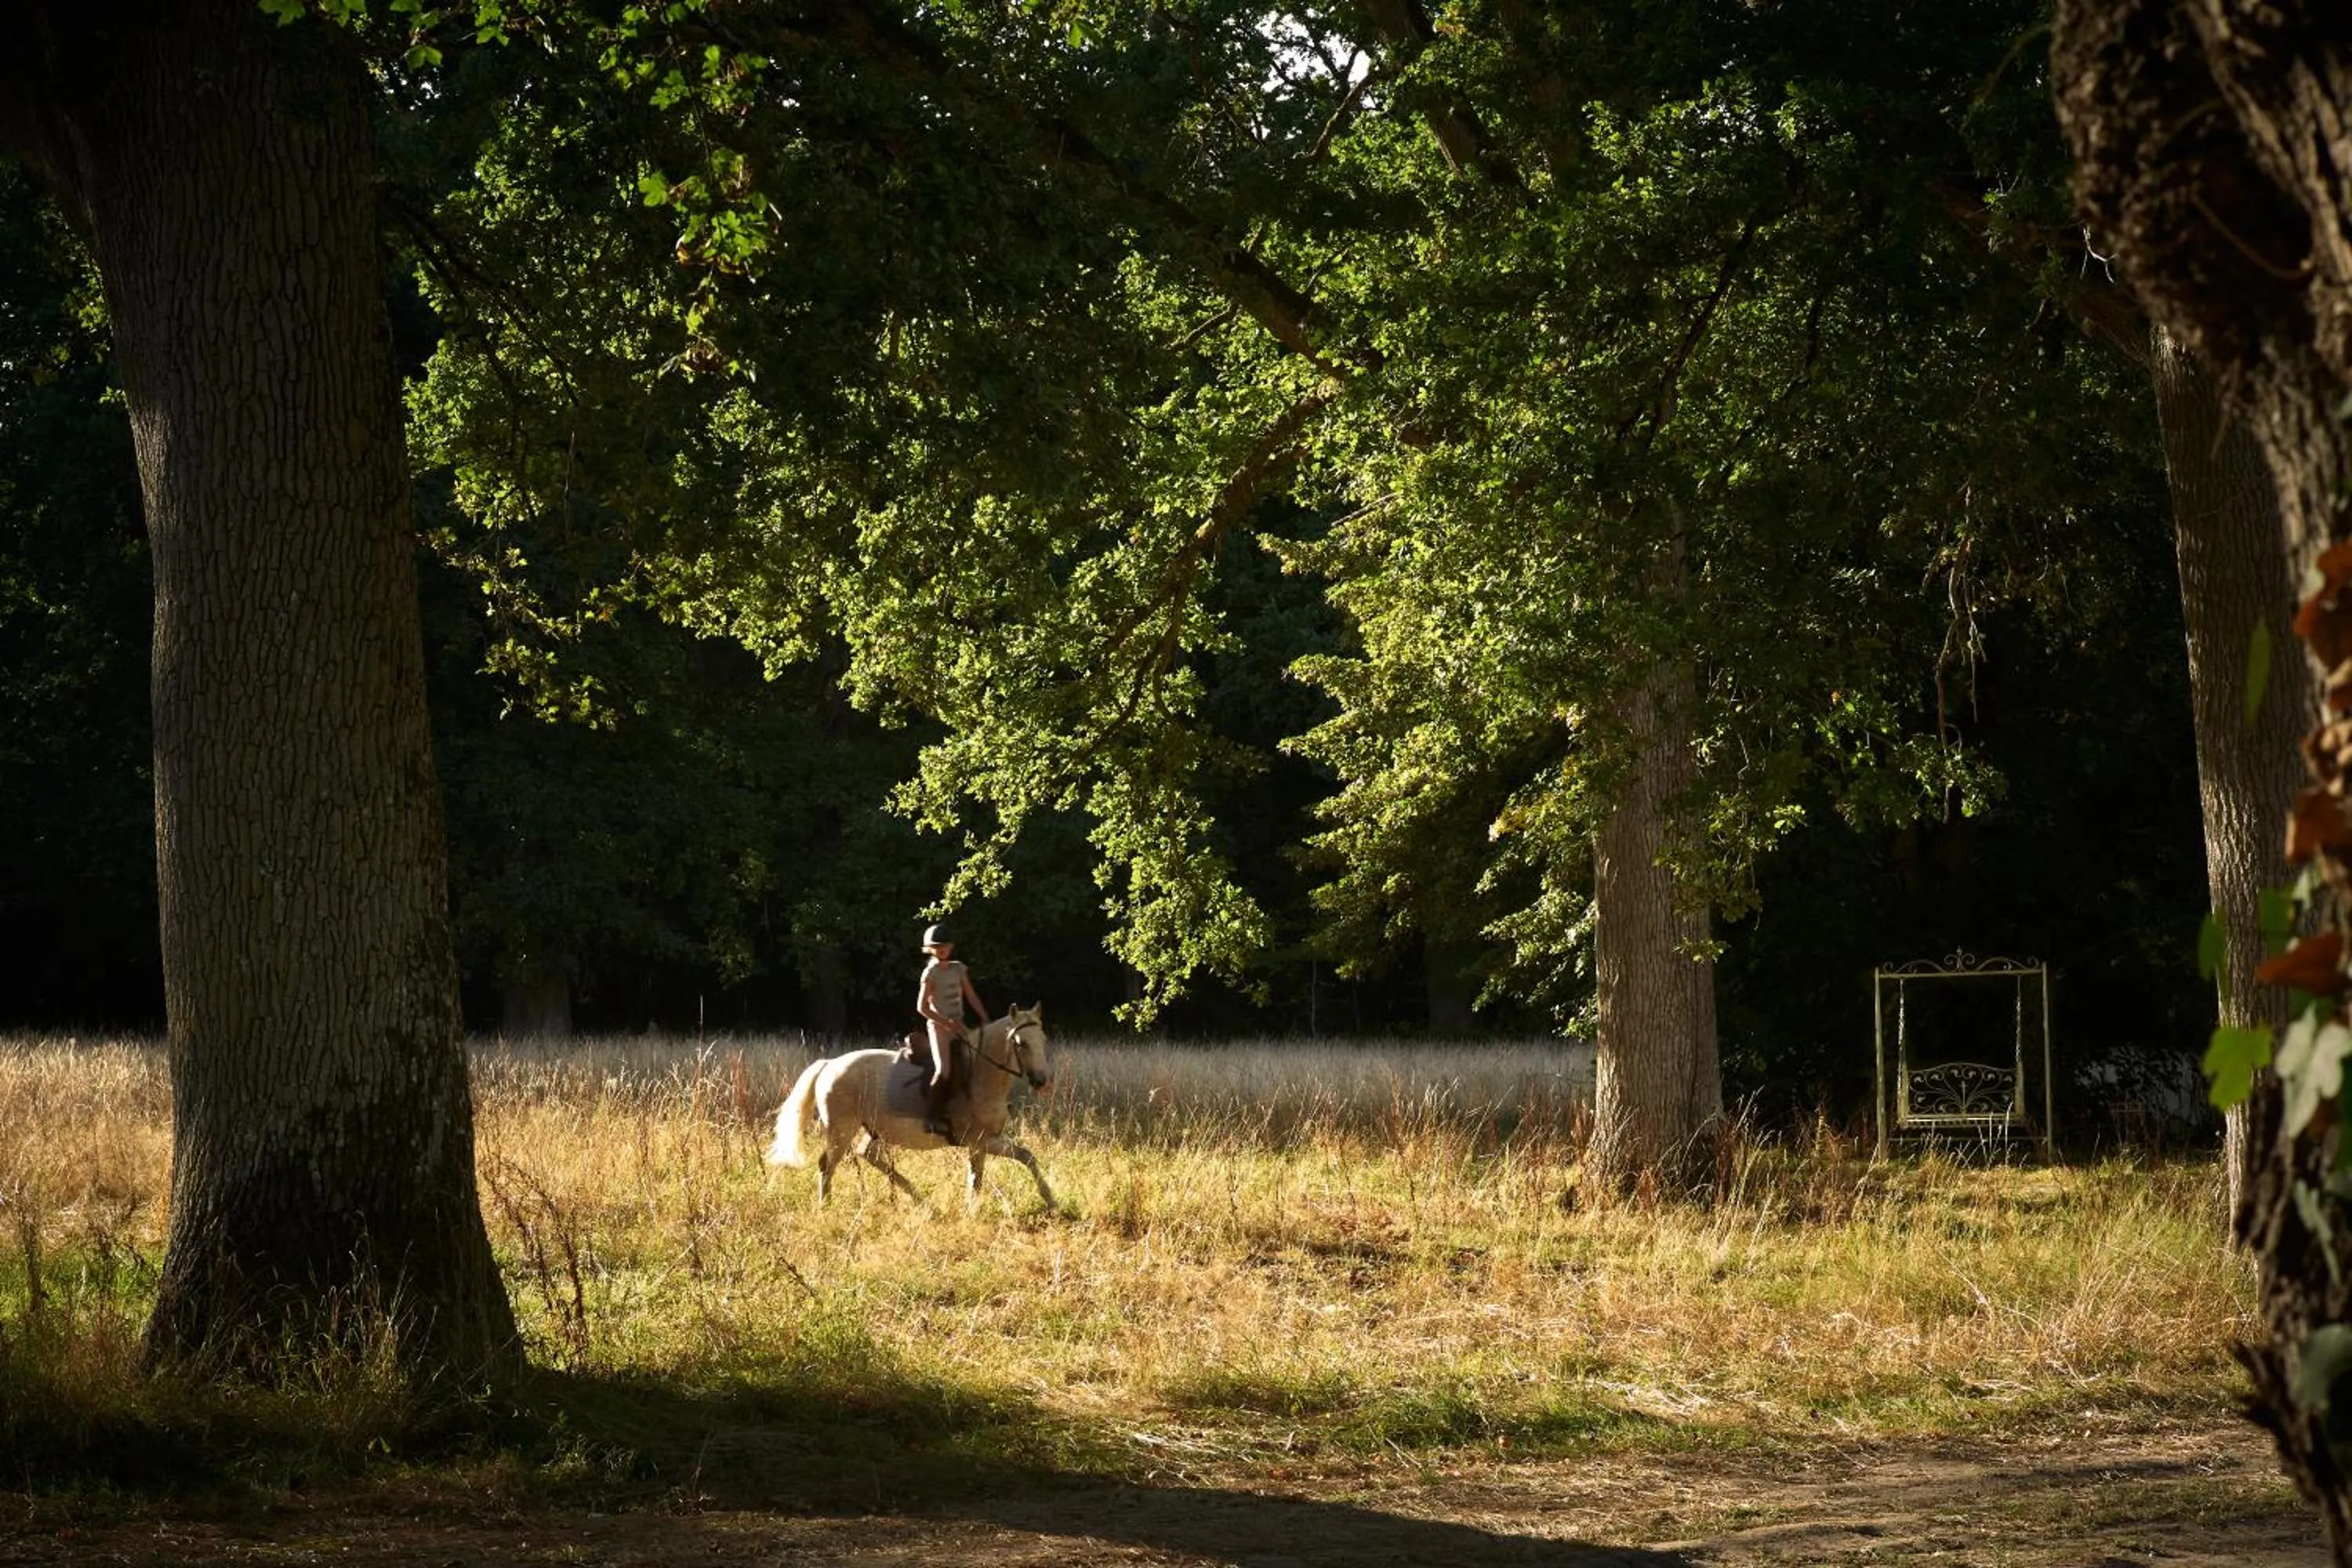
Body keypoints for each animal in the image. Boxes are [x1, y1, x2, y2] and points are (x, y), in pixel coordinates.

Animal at [763, 1004, 1057, 1209]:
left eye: (1043, 1040)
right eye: (1021, 1043)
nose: (1042, 1081)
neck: (981, 1074)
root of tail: (830, 1064)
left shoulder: (988, 1141)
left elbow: (1023, 1158)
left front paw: (1051, 1201)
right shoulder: (979, 1142)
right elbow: (981, 1178)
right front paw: (973, 1212)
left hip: (873, 1129)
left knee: (868, 1154)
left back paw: (922, 1201)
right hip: (841, 1130)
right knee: (828, 1164)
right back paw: (826, 1206)